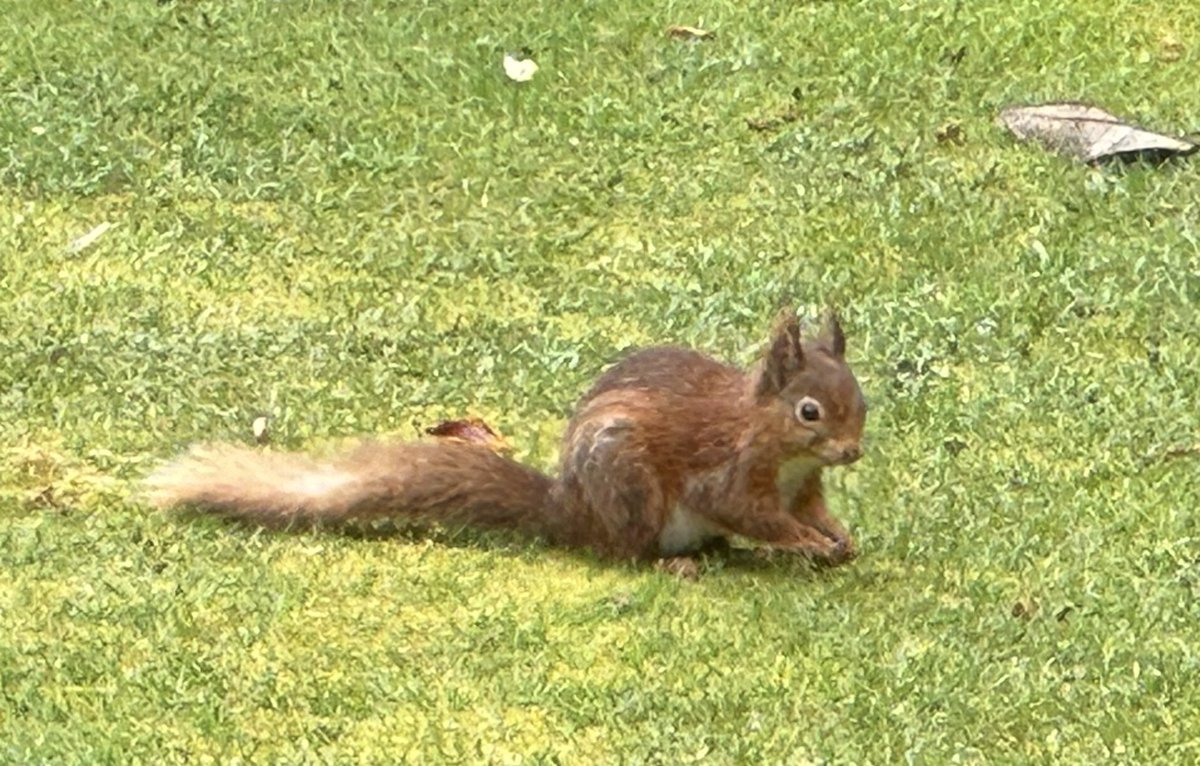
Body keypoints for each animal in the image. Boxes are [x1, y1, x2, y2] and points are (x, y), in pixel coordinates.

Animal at [147, 309, 864, 573]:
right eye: (809, 411)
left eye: (861, 399)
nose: (853, 451)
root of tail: (569, 512)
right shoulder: (733, 472)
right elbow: (748, 512)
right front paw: (806, 544)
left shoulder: (804, 487)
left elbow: (812, 511)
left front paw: (839, 536)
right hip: (628, 483)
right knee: (623, 552)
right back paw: (672, 563)